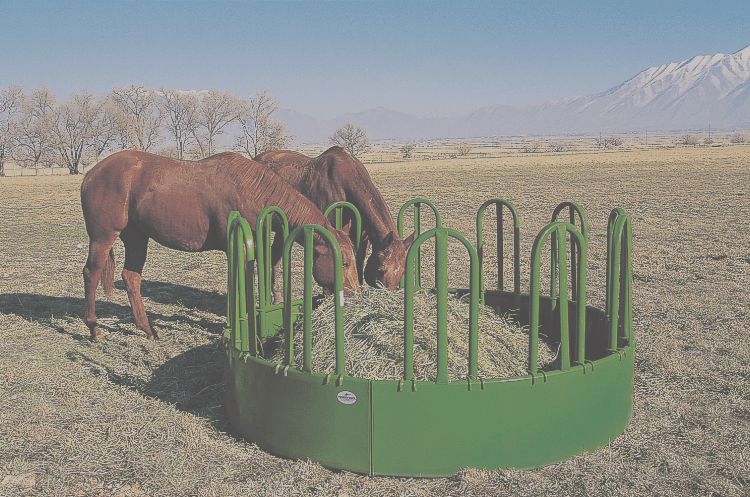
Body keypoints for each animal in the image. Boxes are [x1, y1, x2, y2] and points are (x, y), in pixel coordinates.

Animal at [82, 149, 362, 340]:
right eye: (344, 263)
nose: (357, 296)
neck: (252, 191)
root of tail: (90, 174)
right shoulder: (237, 248)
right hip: (103, 237)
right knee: (91, 273)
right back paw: (94, 328)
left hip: (136, 238)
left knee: (131, 278)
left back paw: (147, 329)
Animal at [256, 144, 414, 294]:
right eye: (381, 269)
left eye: (402, 271)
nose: (390, 291)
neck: (346, 183)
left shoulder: (363, 239)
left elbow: (357, 263)